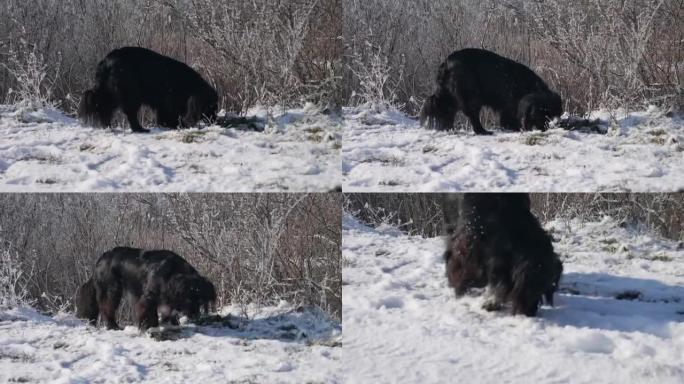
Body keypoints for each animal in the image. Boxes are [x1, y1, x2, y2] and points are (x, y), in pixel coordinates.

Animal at [75, 248, 215, 332]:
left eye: (200, 300)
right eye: (188, 299)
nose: (195, 315)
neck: (173, 274)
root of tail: (101, 259)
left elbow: (168, 312)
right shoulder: (149, 297)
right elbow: (149, 313)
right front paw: (150, 327)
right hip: (112, 289)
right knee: (107, 306)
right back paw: (113, 326)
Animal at [80, 47, 219, 134]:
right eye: (211, 106)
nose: (214, 120)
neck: (190, 86)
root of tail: (106, 62)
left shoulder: (164, 103)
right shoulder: (169, 99)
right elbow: (170, 113)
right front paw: (177, 125)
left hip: (111, 92)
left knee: (104, 106)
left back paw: (107, 126)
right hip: (130, 92)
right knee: (129, 112)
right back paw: (140, 129)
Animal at [422, 49, 560, 135]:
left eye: (548, 116)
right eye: (538, 115)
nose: (543, 129)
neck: (528, 87)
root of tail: (447, 63)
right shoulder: (510, 104)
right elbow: (509, 118)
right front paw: (514, 127)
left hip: (450, 95)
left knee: (446, 109)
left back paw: (448, 128)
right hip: (471, 95)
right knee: (472, 115)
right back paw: (483, 131)